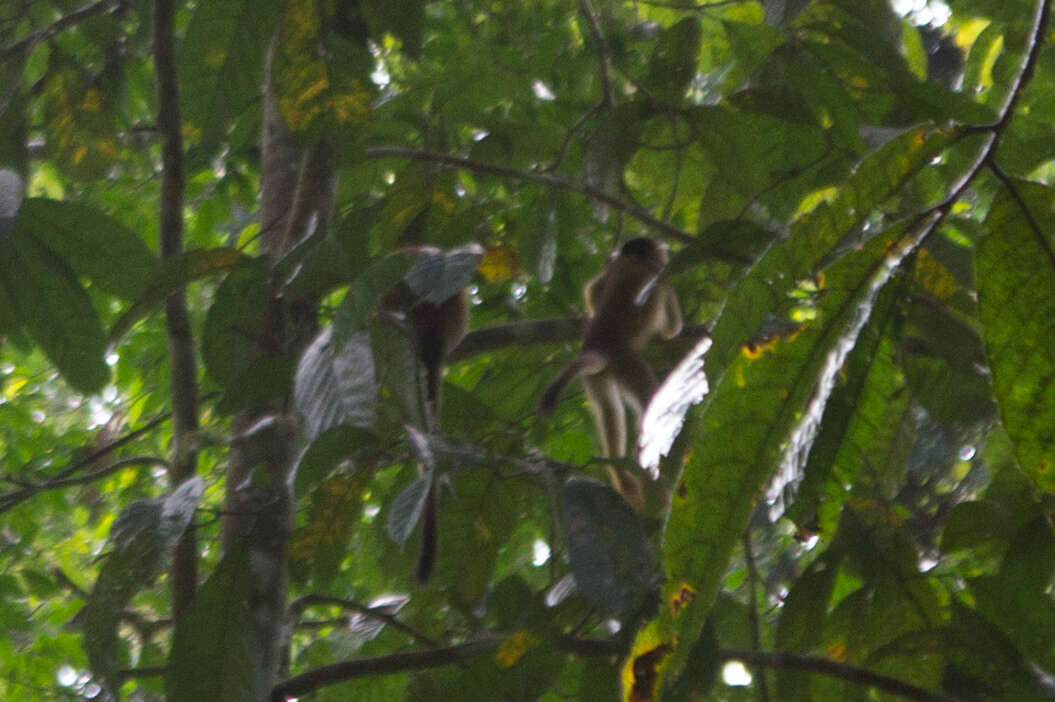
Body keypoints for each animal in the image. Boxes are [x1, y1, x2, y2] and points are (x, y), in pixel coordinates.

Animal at [535, 238, 683, 506]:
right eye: (661, 256)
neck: (633, 258)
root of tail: (599, 347)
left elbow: (593, 290)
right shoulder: (660, 273)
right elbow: (672, 327)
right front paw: (671, 332)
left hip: (595, 375)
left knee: (608, 411)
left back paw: (622, 477)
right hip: (627, 362)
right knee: (648, 405)